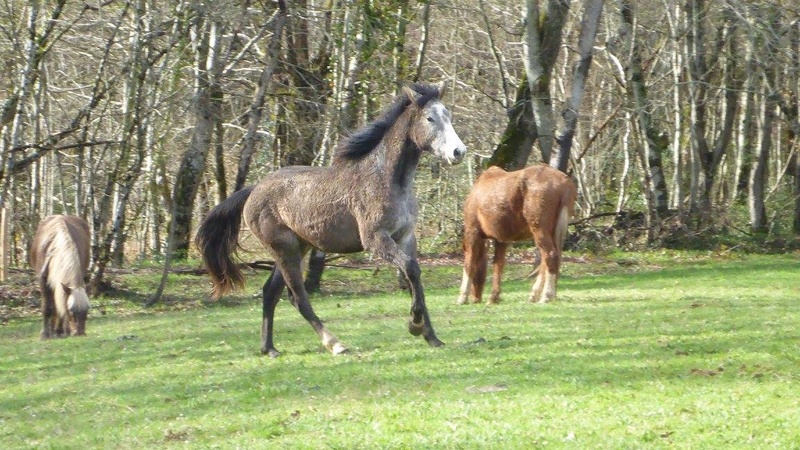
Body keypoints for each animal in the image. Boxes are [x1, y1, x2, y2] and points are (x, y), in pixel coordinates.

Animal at [196, 83, 466, 358]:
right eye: (430, 118)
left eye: (448, 115)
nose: (459, 152)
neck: (386, 178)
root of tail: (254, 190)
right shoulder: (376, 239)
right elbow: (411, 269)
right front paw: (415, 325)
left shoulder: (405, 237)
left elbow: (414, 277)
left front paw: (431, 336)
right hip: (285, 249)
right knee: (297, 297)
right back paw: (335, 344)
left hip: (298, 248)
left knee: (271, 292)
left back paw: (269, 348)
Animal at [456, 164, 576, 306]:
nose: (476, 299)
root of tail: (564, 183)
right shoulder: (501, 240)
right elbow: (498, 266)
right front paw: (494, 297)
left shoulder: (472, 232)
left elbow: (469, 264)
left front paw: (462, 297)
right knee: (547, 260)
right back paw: (536, 294)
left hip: (540, 231)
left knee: (550, 256)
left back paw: (546, 296)